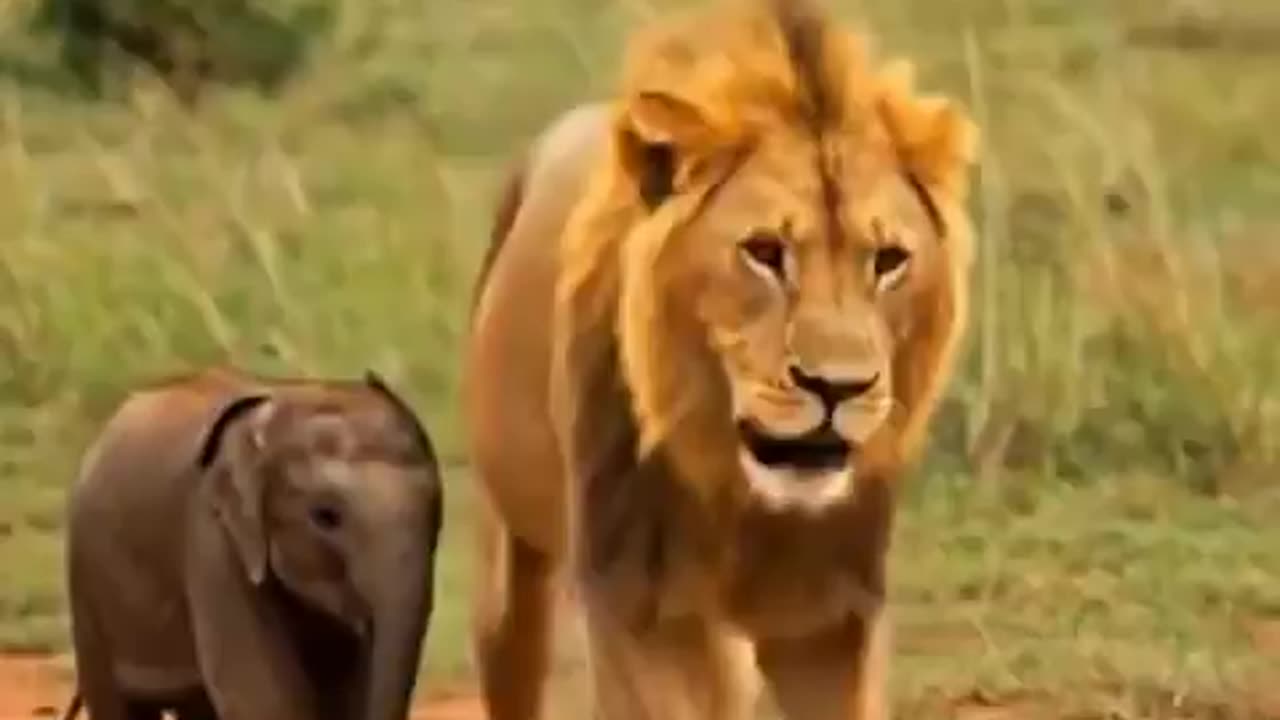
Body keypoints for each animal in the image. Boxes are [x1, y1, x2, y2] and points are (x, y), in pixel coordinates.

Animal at [463, 0, 978, 718]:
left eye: (888, 260)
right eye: (763, 252)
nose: (838, 388)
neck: (736, 491)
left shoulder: (833, 615)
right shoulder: (638, 608)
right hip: (512, 573)